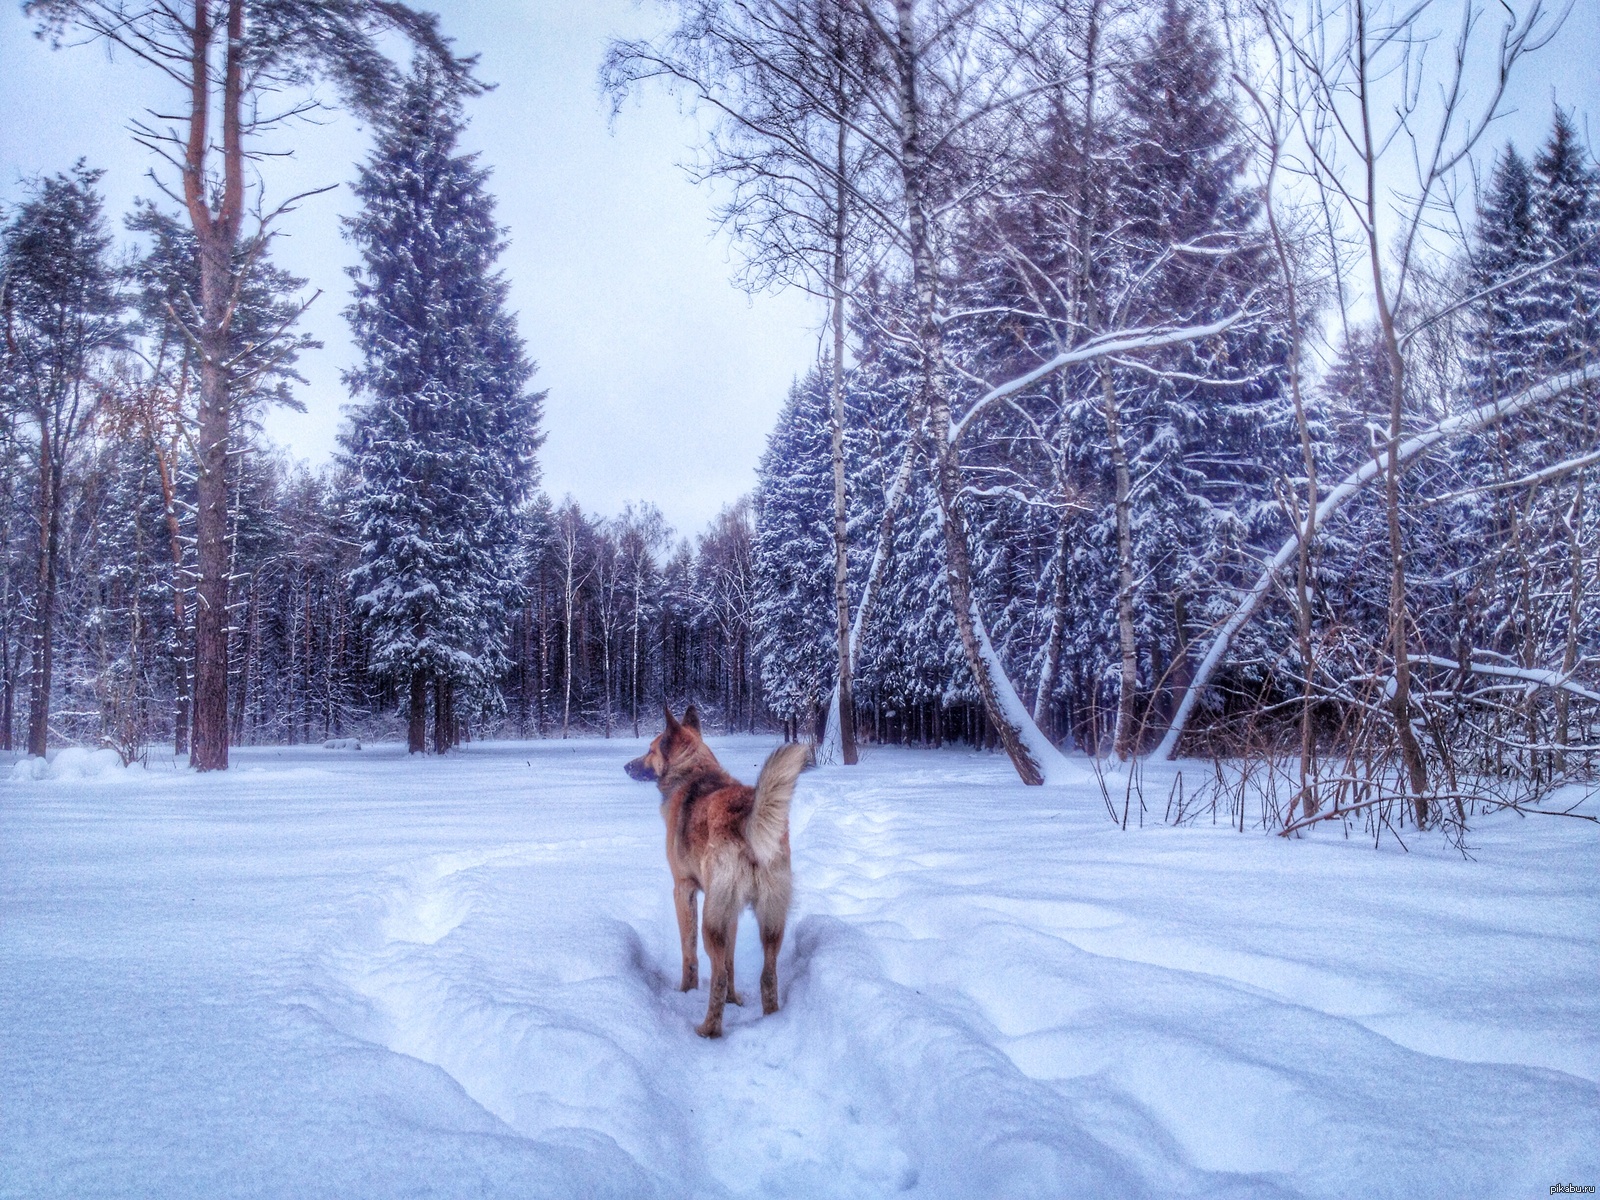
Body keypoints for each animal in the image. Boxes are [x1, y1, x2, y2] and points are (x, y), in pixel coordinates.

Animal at [620, 710, 806, 1036]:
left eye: (650, 750)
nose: (626, 766)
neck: (693, 771)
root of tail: (745, 817)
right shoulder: (731, 913)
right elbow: (731, 962)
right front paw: (734, 1000)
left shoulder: (684, 890)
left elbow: (689, 953)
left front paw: (686, 991)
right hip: (770, 920)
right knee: (767, 975)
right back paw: (770, 1018)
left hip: (713, 920)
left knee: (716, 975)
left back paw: (709, 1029)